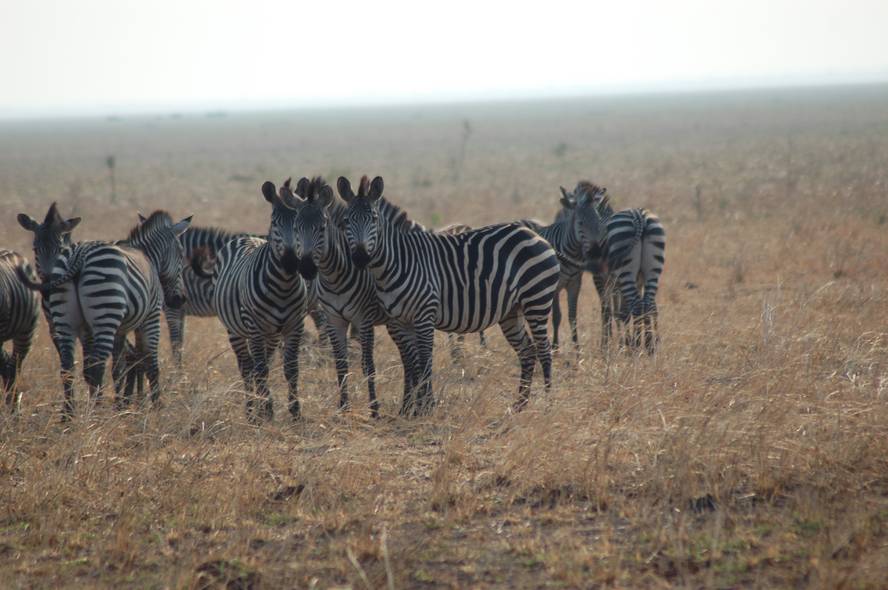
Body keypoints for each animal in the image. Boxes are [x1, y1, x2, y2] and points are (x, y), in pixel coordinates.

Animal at [16, 210, 193, 418]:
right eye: (181, 254)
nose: (179, 300)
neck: (148, 257)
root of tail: (80, 254)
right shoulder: (151, 316)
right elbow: (150, 362)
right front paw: (155, 407)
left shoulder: (119, 329)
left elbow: (120, 366)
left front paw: (123, 405)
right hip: (105, 313)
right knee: (98, 366)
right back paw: (95, 413)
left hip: (65, 320)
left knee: (68, 366)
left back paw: (70, 415)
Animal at [209, 179, 316, 420]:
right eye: (274, 222)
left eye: (298, 224)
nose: (290, 262)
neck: (283, 287)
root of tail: (245, 237)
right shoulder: (254, 325)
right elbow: (260, 370)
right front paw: (266, 409)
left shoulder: (295, 325)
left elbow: (291, 369)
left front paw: (295, 412)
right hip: (236, 330)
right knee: (248, 367)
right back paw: (251, 410)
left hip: (271, 334)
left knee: (260, 363)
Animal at [336, 176, 560, 416]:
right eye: (346, 221)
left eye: (374, 219)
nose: (360, 257)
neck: (394, 263)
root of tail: (533, 234)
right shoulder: (400, 321)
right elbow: (411, 363)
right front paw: (411, 409)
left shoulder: (424, 316)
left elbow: (425, 362)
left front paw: (427, 408)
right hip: (511, 311)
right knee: (527, 351)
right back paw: (519, 405)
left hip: (537, 300)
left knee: (544, 350)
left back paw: (547, 404)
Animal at [604, 209, 664, 356]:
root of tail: (639, 216)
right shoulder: (638, 281)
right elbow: (624, 312)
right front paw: (625, 344)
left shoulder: (609, 282)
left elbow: (615, 312)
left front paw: (621, 345)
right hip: (652, 272)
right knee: (647, 304)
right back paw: (649, 346)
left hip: (626, 272)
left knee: (637, 307)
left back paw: (637, 346)